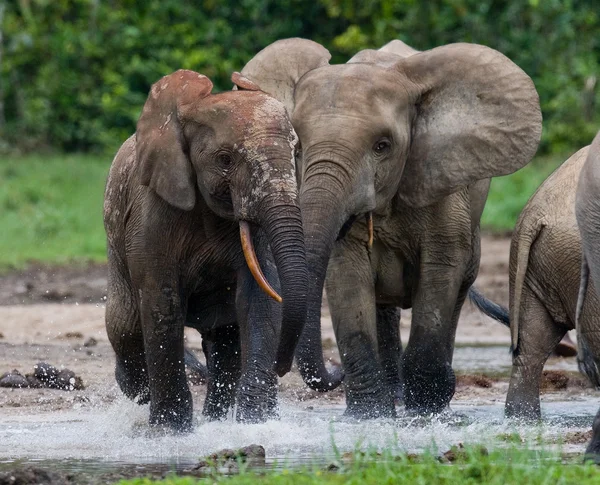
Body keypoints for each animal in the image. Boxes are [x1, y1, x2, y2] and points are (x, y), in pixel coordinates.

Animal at [103, 69, 308, 432]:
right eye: (225, 159)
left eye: (296, 151)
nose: (282, 368)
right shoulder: (150, 215)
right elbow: (162, 302)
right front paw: (170, 432)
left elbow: (259, 298)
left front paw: (254, 424)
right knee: (124, 327)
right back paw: (137, 394)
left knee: (225, 337)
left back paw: (215, 418)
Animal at [239, 38, 544, 416]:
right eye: (296, 145)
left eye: (382, 146)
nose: (335, 372)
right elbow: (348, 278)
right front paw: (368, 417)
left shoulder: (441, 180)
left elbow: (440, 272)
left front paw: (424, 412)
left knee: (457, 290)